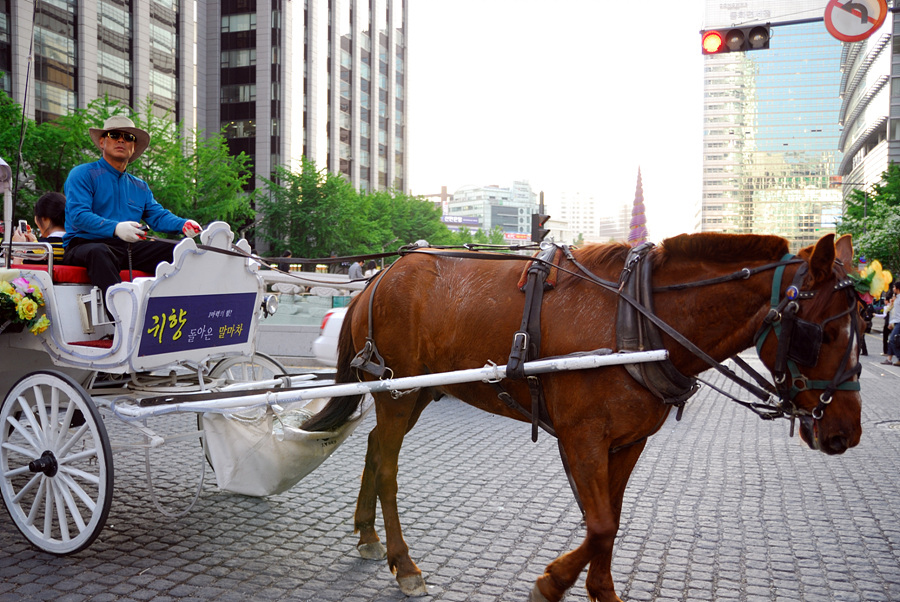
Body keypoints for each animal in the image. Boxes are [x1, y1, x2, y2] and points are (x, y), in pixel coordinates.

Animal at [298, 232, 860, 600]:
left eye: (860, 325)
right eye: (822, 335)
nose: (845, 433)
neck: (639, 316)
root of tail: (381, 277)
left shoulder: (628, 442)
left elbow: (611, 519)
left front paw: (601, 590)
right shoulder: (581, 438)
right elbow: (601, 525)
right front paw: (553, 583)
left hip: (418, 393)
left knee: (375, 448)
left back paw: (369, 536)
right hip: (397, 392)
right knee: (389, 468)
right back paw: (404, 562)